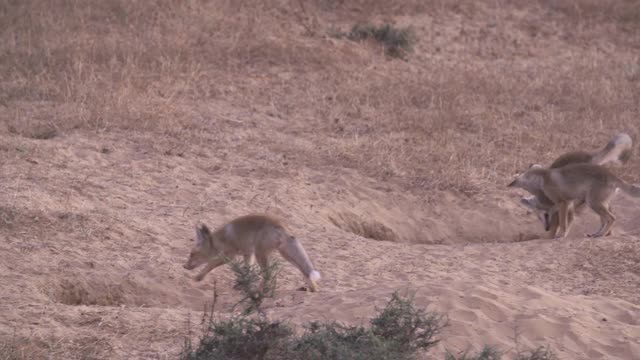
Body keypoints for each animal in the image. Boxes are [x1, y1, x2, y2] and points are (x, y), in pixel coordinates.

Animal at [181, 214, 320, 292]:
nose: (184, 266)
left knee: (268, 274)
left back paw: (260, 291)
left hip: (261, 253)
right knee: (304, 271)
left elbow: (209, 265)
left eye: (192, 254)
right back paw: (313, 289)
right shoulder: (248, 253)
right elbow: (247, 271)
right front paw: (243, 285)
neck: (219, 240)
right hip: (284, 255)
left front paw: (198, 277)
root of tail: (280, 225)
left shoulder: (230, 255)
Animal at [510, 163, 640, 239]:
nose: (546, 228)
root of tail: (614, 176)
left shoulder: (562, 203)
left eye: (545, 215)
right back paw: (598, 234)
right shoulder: (568, 204)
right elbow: (567, 223)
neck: (544, 176)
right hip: (598, 204)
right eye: (539, 217)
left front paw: (560, 235)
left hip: (594, 203)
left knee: (612, 218)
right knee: (605, 221)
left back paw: (601, 235)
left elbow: (563, 224)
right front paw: (561, 234)